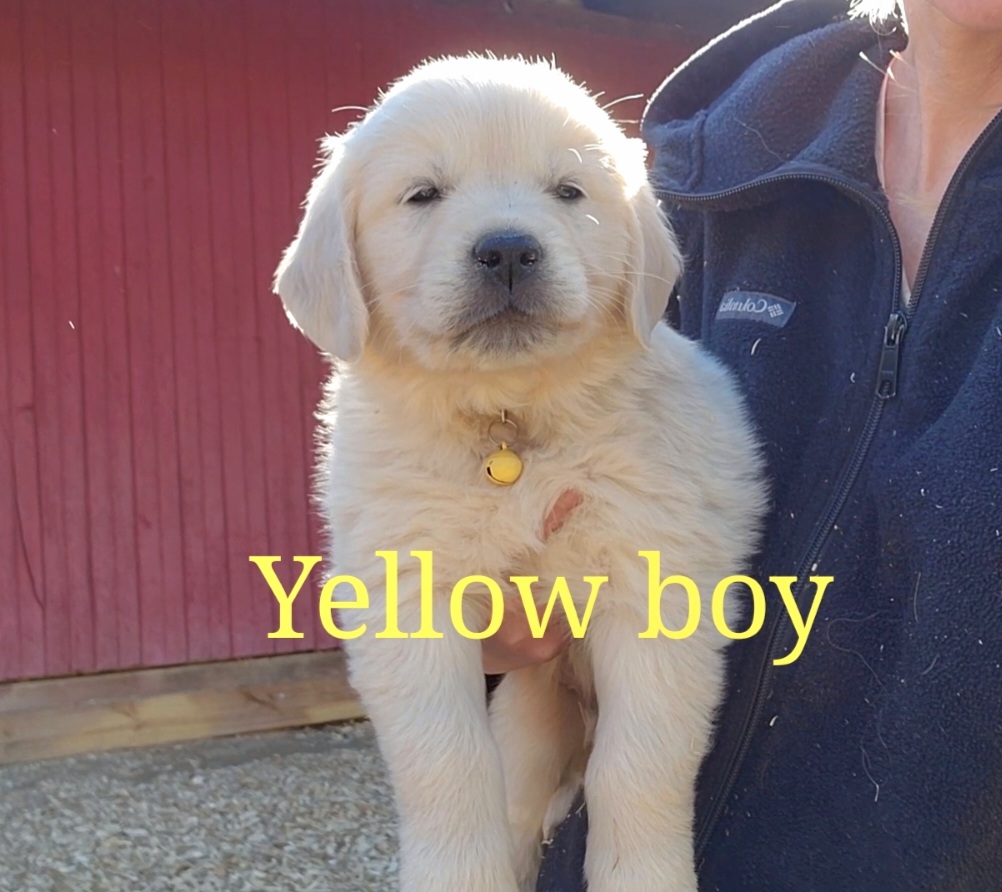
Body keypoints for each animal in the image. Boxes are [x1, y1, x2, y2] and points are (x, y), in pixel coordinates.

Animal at [274, 56, 766, 892]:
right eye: (423, 194)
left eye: (568, 191)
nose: (507, 249)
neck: (511, 427)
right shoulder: (408, 591)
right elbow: (448, 762)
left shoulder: (655, 587)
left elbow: (638, 766)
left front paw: (642, 875)